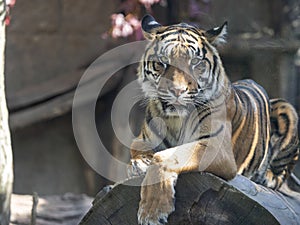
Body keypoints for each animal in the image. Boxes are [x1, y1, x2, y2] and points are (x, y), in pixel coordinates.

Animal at [127, 14, 300, 225]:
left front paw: (152, 212)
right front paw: (139, 164)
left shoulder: (215, 146)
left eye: (195, 62)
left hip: (287, 109)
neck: (175, 120)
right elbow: (137, 147)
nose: (177, 91)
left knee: (281, 176)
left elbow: (164, 156)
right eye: (162, 63)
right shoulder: (144, 138)